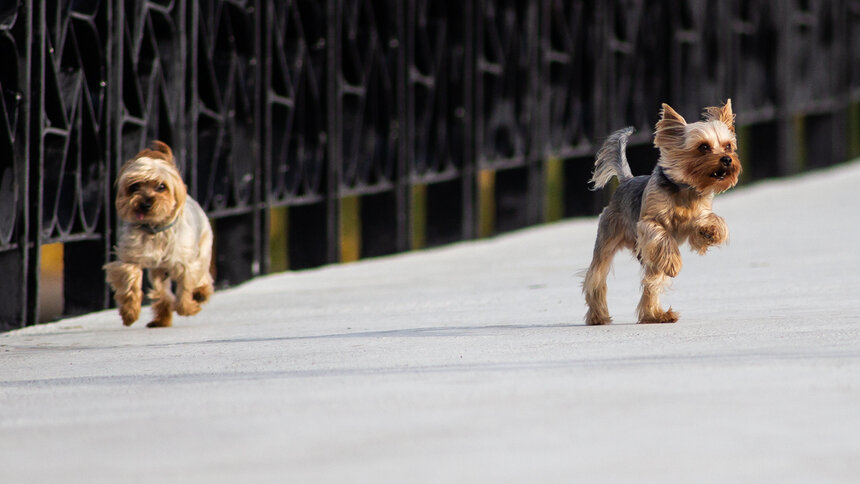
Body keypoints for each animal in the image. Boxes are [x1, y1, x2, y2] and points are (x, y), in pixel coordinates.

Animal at [103, 142, 213, 328]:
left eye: (162, 187)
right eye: (134, 187)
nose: (145, 203)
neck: (155, 229)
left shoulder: (186, 264)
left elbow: (185, 290)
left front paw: (189, 307)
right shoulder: (130, 259)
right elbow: (130, 279)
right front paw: (130, 313)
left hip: (203, 247)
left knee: (202, 276)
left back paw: (200, 294)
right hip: (159, 270)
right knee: (161, 291)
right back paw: (162, 318)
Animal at [584, 99, 740, 324]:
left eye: (728, 146)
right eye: (703, 147)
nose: (727, 159)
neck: (685, 189)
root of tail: (626, 180)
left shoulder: (698, 214)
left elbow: (708, 221)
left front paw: (711, 231)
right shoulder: (648, 224)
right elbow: (662, 235)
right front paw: (674, 263)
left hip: (649, 259)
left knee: (651, 282)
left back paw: (655, 315)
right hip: (608, 238)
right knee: (595, 277)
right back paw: (598, 316)